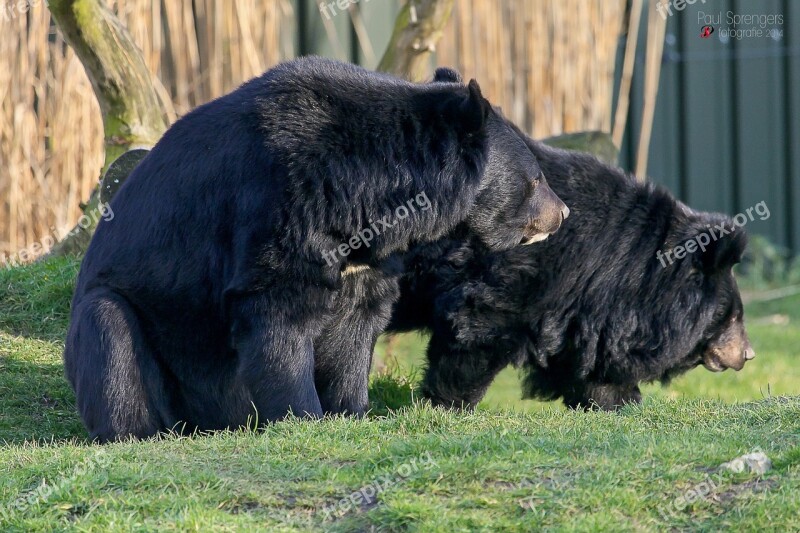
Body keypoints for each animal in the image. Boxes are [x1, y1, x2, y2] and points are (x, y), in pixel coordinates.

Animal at [64, 58, 568, 440]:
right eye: (536, 178)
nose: (562, 213)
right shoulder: (278, 202)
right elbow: (276, 315)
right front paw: (303, 417)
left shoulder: (369, 260)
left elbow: (356, 329)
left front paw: (352, 412)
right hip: (130, 324)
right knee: (110, 337)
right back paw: (137, 432)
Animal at [390, 132, 752, 408]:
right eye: (731, 317)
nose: (748, 354)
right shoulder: (512, 276)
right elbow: (474, 328)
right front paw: (448, 403)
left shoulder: (578, 304)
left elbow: (582, 357)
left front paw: (619, 400)